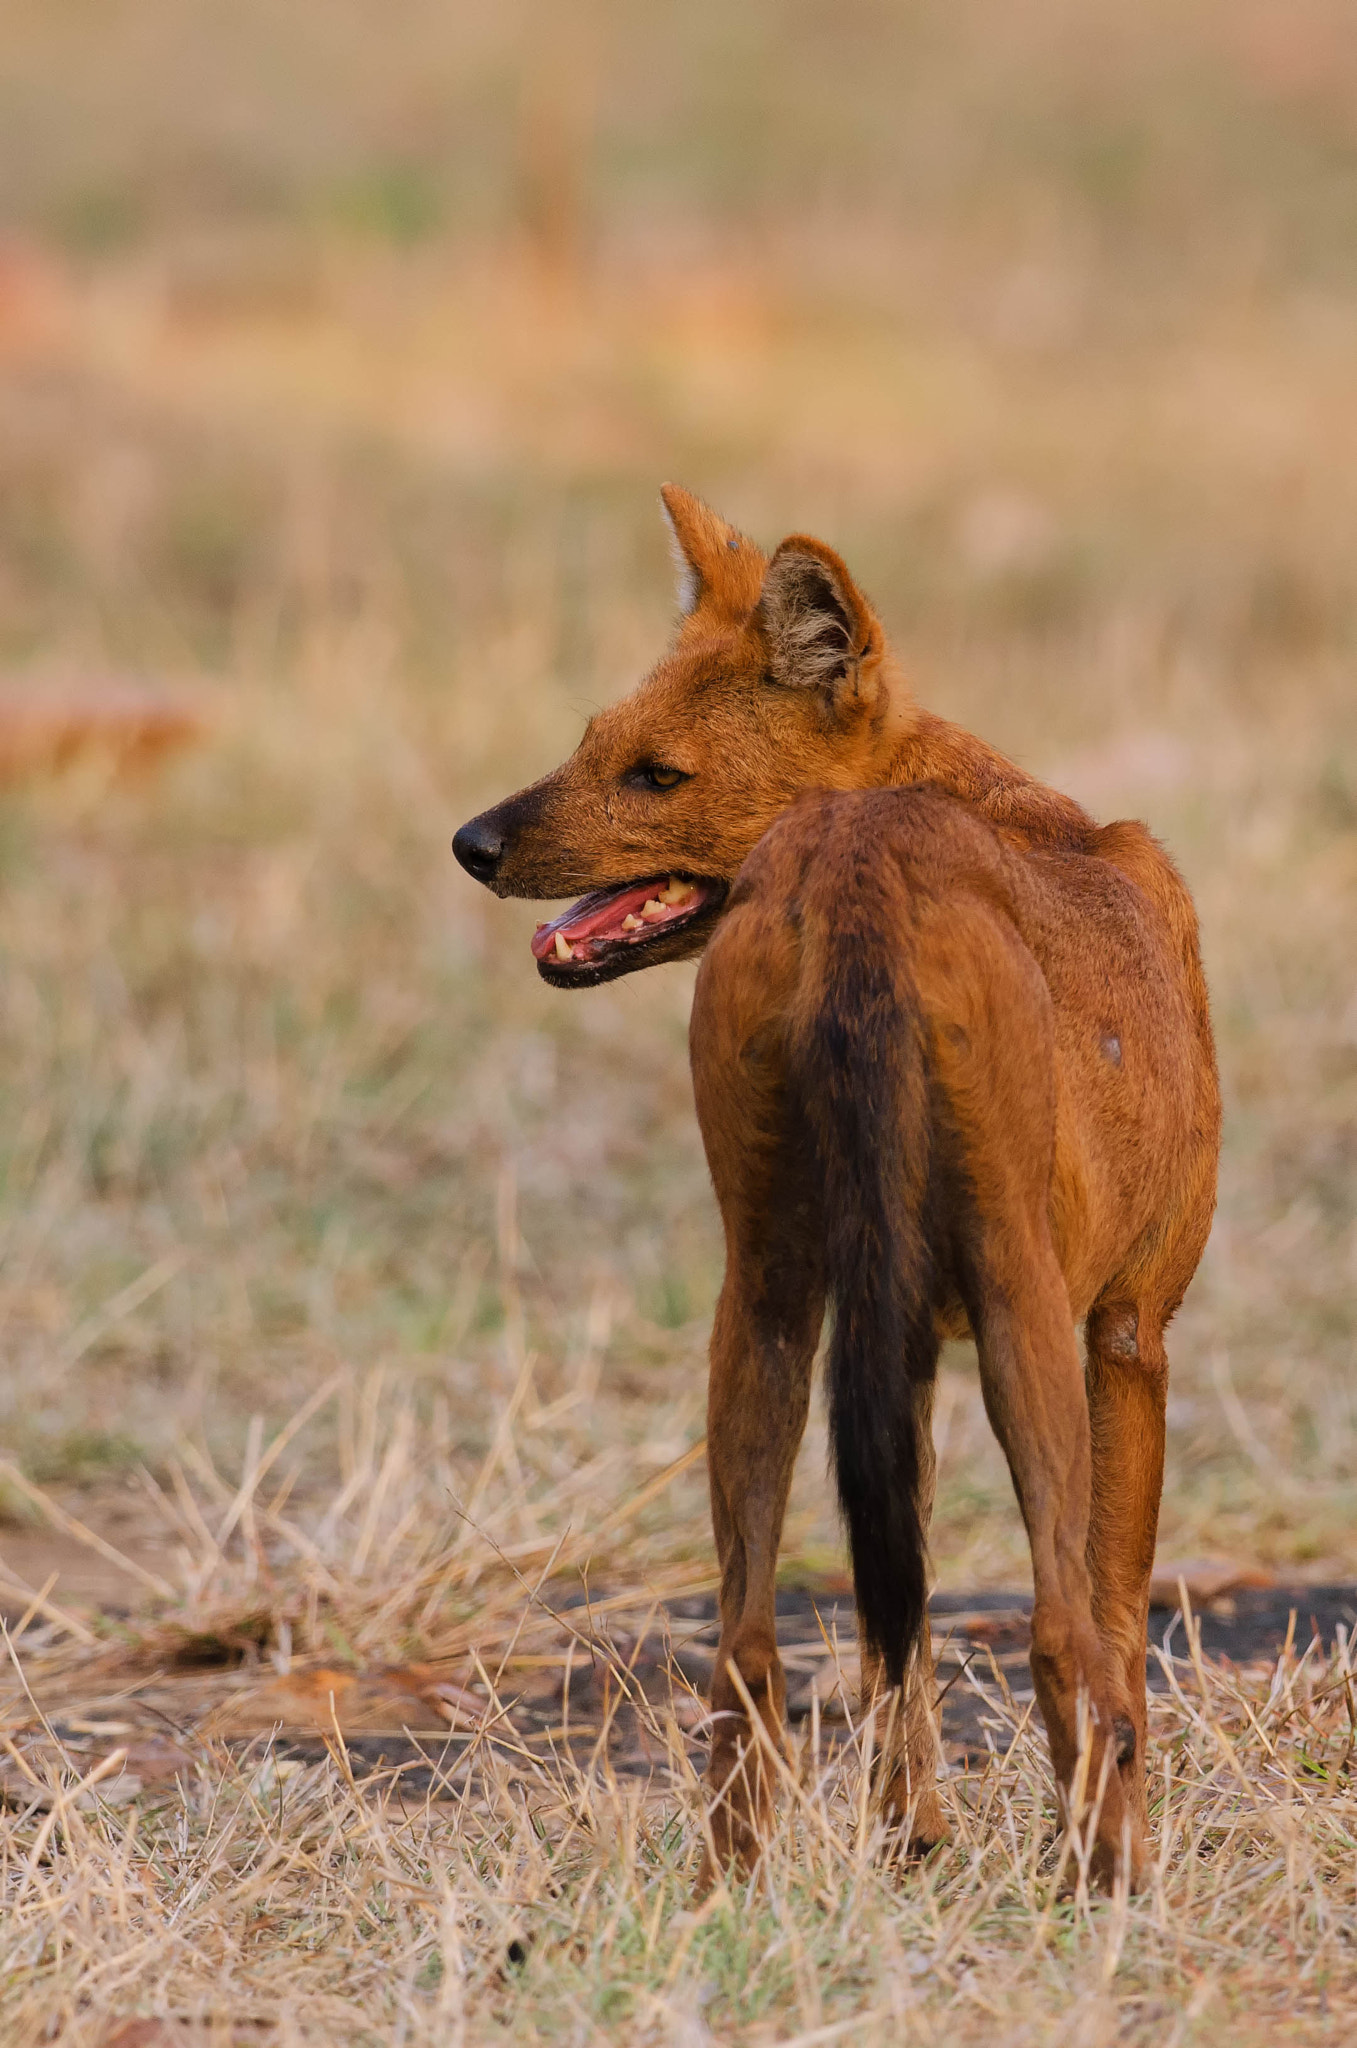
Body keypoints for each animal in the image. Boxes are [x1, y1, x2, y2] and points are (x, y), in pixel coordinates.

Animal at [454, 479, 1219, 1884]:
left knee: (747, 1647)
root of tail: (858, 857)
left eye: (647, 768)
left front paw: (909, 1837)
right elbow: (1118, 1627)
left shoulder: (898, 1338)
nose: (469, 841)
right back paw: (1104, 1878)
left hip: (758, 1305)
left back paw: (731, 1891)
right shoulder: (1129, 1327)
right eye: (599, 747)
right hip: (1022, 1314)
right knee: (1055, 1633)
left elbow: (890, 1632)